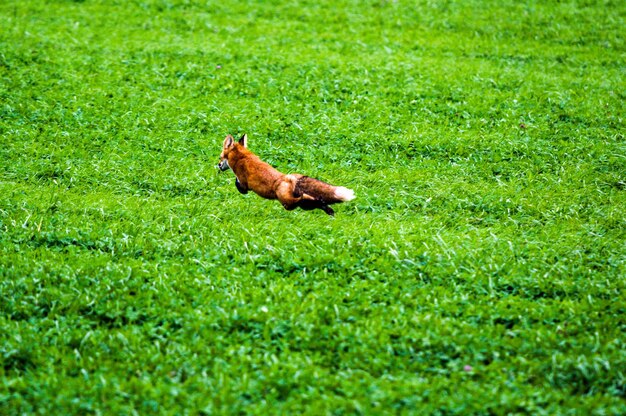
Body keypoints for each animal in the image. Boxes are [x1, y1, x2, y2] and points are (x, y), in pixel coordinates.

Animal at [217, 135, 354, 216]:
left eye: (220, 157)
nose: (218, 166)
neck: (242, 157)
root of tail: (289, 177)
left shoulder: (244, 185)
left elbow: (238, 184)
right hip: (302, 206)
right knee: (316, 202)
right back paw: (328, 209)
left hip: (288, 203)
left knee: (303, 199)